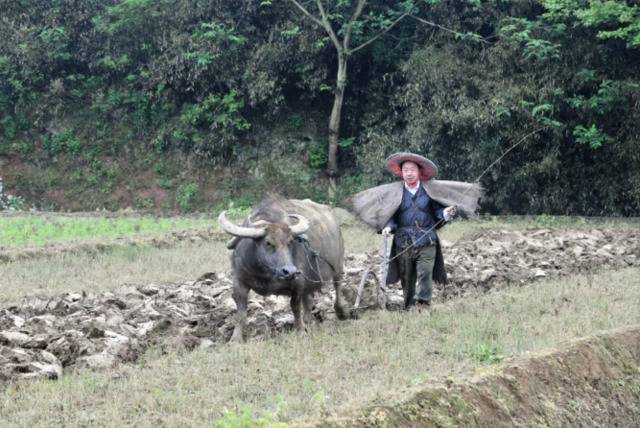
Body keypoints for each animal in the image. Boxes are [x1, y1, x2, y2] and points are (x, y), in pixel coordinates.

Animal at [220, 197, 350, 342]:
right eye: (268, 243)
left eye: (290, 242)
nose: (290, 271)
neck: (265, 273)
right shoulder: (239, 281)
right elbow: (241, 312)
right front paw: (235, 338)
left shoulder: (298, 283)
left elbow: (295, 306)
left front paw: (300, 330)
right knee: (309, 300)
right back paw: (308, 321)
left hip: (338, 265)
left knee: (338, 286)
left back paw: (341, 312)